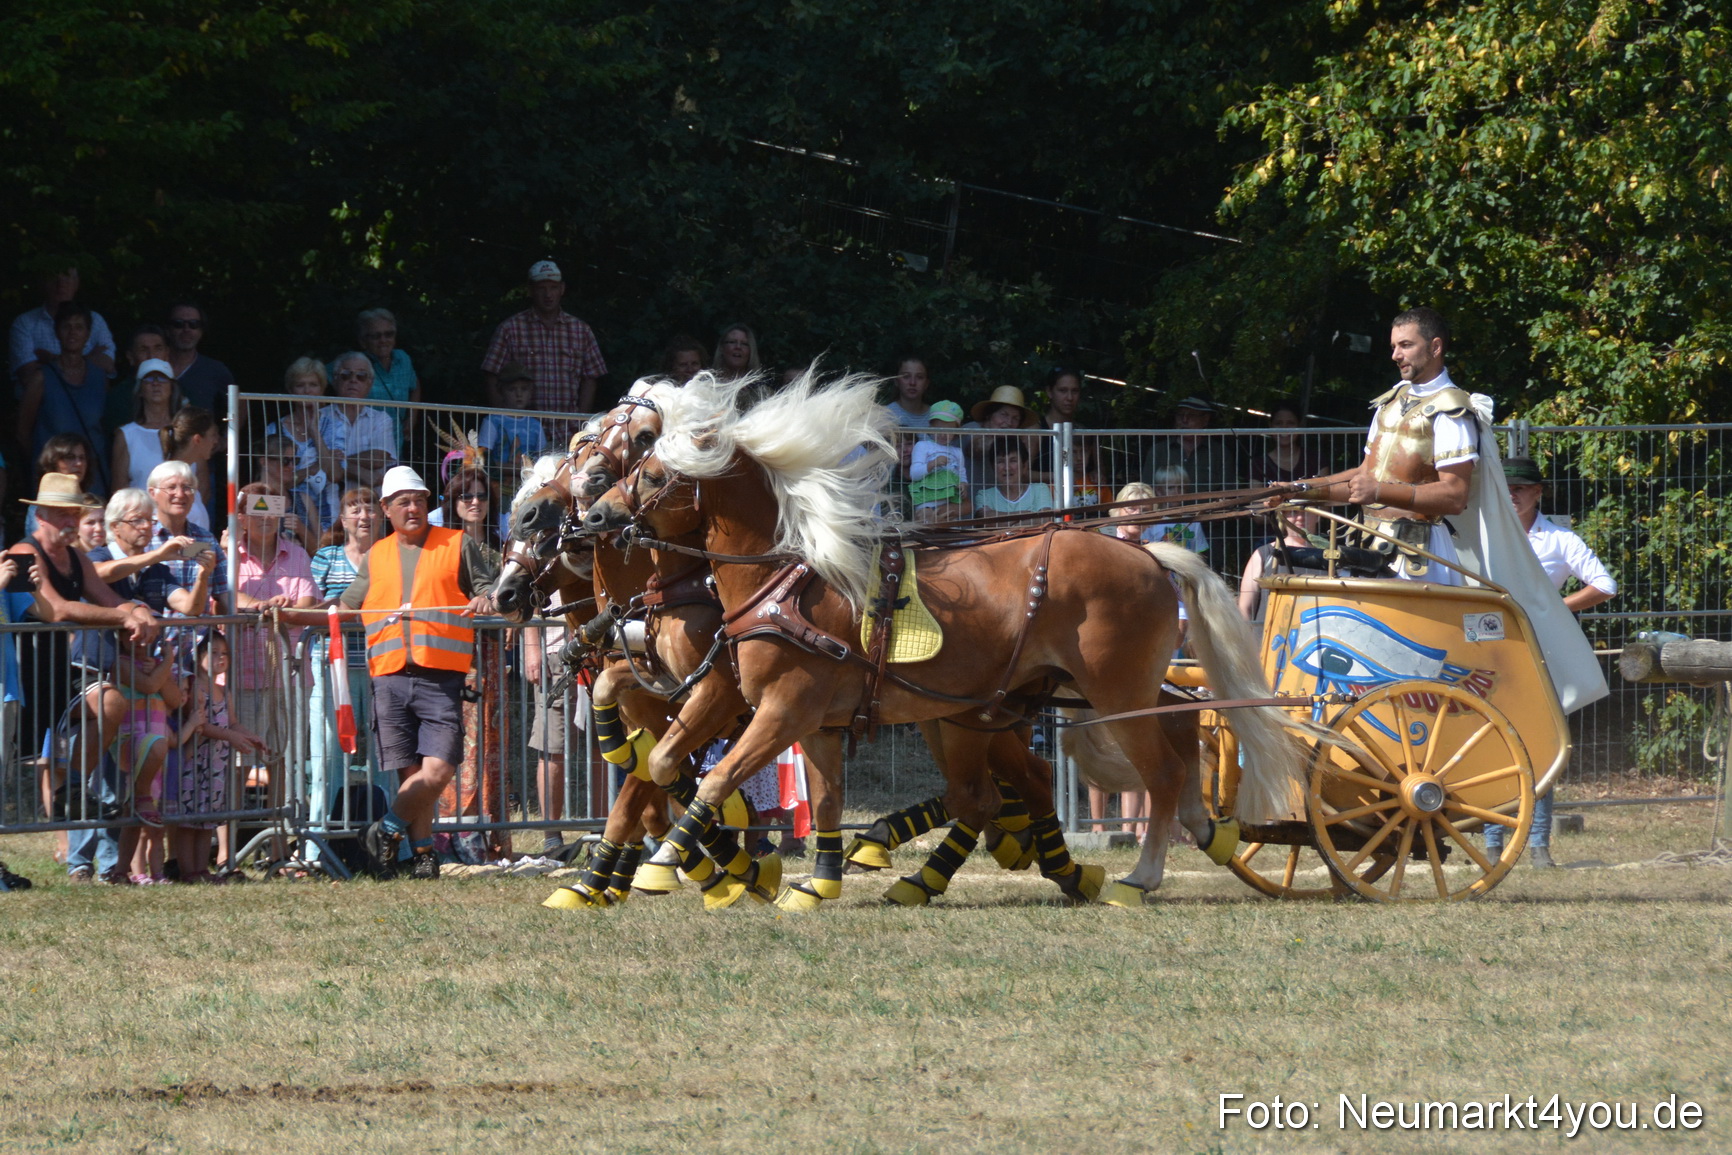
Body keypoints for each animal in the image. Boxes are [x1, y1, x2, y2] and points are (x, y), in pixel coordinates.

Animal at [583, 369, 1303, 907]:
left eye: (652, 471)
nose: (594, 513)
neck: (783, 584)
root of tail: (1149, 553)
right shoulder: (805, 717)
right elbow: (786, 788)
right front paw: (812, 881)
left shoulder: (781, 707)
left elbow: (715, 777)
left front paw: (673, 861)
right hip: (1046, 699)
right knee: (1170, 733)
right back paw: (1197, 830)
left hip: (1108, 691)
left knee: (1157, 767)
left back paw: (1139, 874)